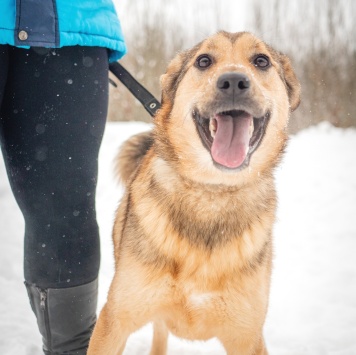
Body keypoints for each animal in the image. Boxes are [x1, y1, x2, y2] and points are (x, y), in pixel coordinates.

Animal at [87, 31, 298, 355]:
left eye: (261, 61)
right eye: (204, 61)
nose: (233, 81)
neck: (212, 194)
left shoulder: (248, 336)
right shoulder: (114, 320)